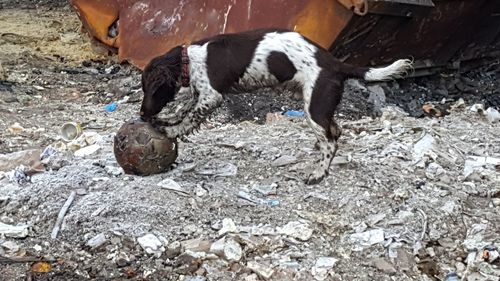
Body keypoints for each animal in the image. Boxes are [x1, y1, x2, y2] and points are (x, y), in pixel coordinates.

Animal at [139, 28, 412, 184]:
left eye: (149, 89)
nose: (141, 115)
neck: (190, 59)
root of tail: (336, 63)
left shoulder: (211, 95)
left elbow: (190, 117)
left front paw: (171, 130)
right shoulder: (201, 95)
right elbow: (184, 110)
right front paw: (168, 121)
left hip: (315, 106)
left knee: (330, 141)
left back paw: (318, 173)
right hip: (321, 107)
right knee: (334, 130)